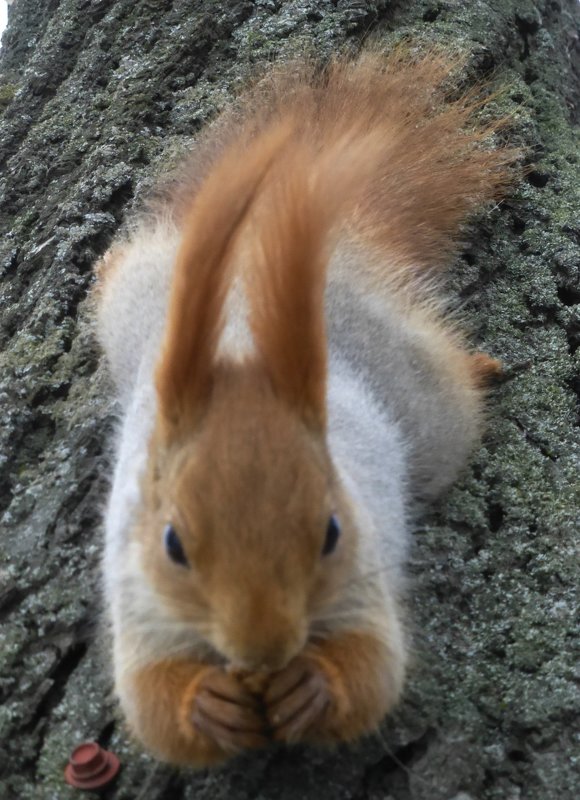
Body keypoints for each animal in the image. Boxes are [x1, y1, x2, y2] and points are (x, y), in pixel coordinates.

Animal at [93, 47, 516, 764]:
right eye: (172, 543)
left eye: (331, 532)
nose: (265, 649)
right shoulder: (135, 590)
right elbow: (150, 705)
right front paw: (205, 706)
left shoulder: (364, 570)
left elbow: (374, 671)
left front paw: (312, 688)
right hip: (136, 307)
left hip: (424, 398)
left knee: (447, 380)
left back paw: (479, 368)